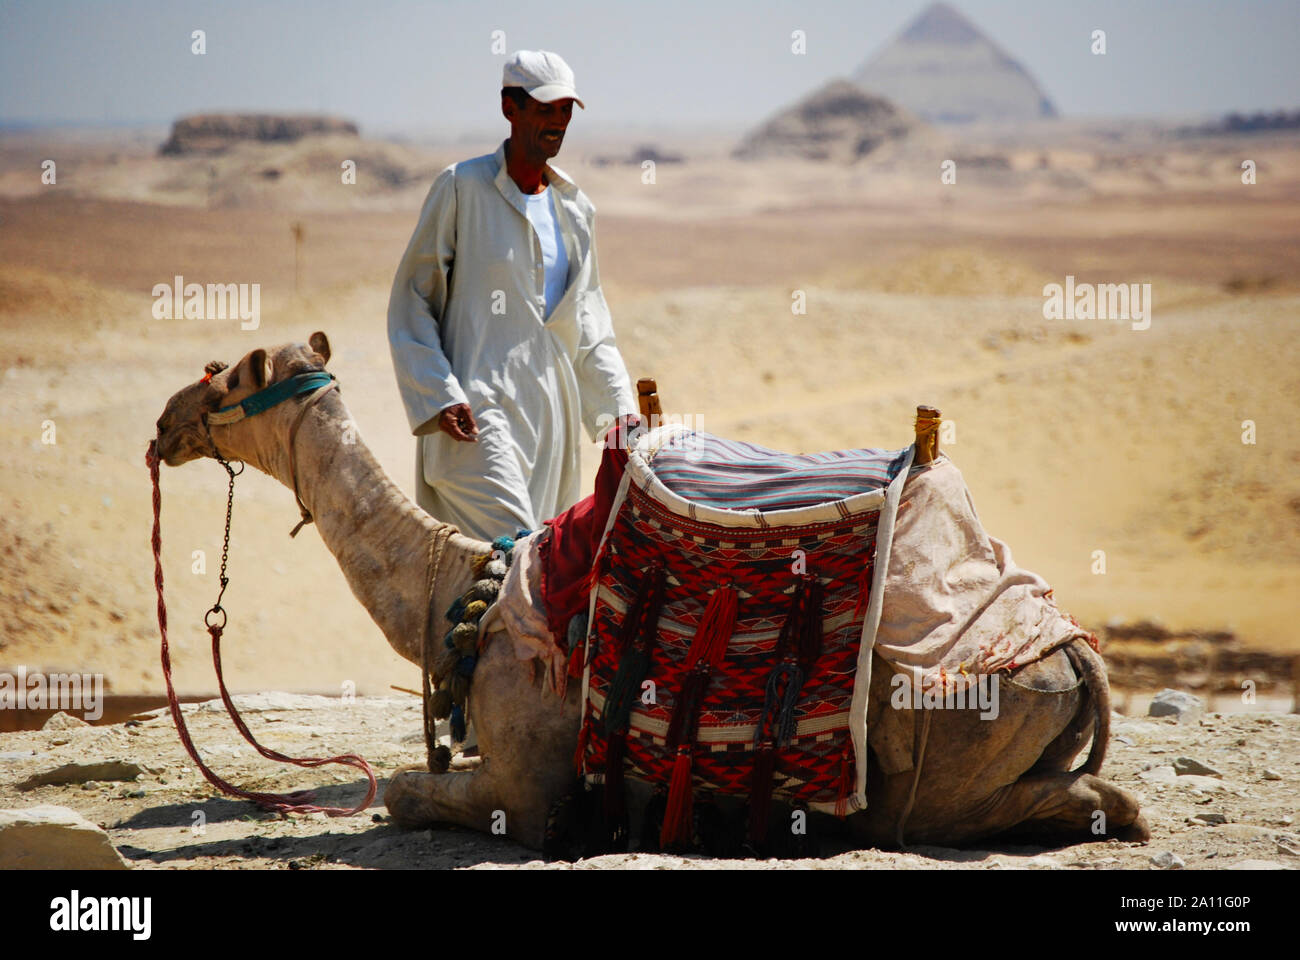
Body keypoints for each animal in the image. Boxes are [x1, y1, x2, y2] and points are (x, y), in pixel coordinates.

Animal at [154, 330, 1149, 853]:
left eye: (233, 374)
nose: (165, 422)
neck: (460, 594)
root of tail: (1069, 649)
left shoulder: (527, 788)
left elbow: (404, 792)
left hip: (950, 753)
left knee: (1065, 805)